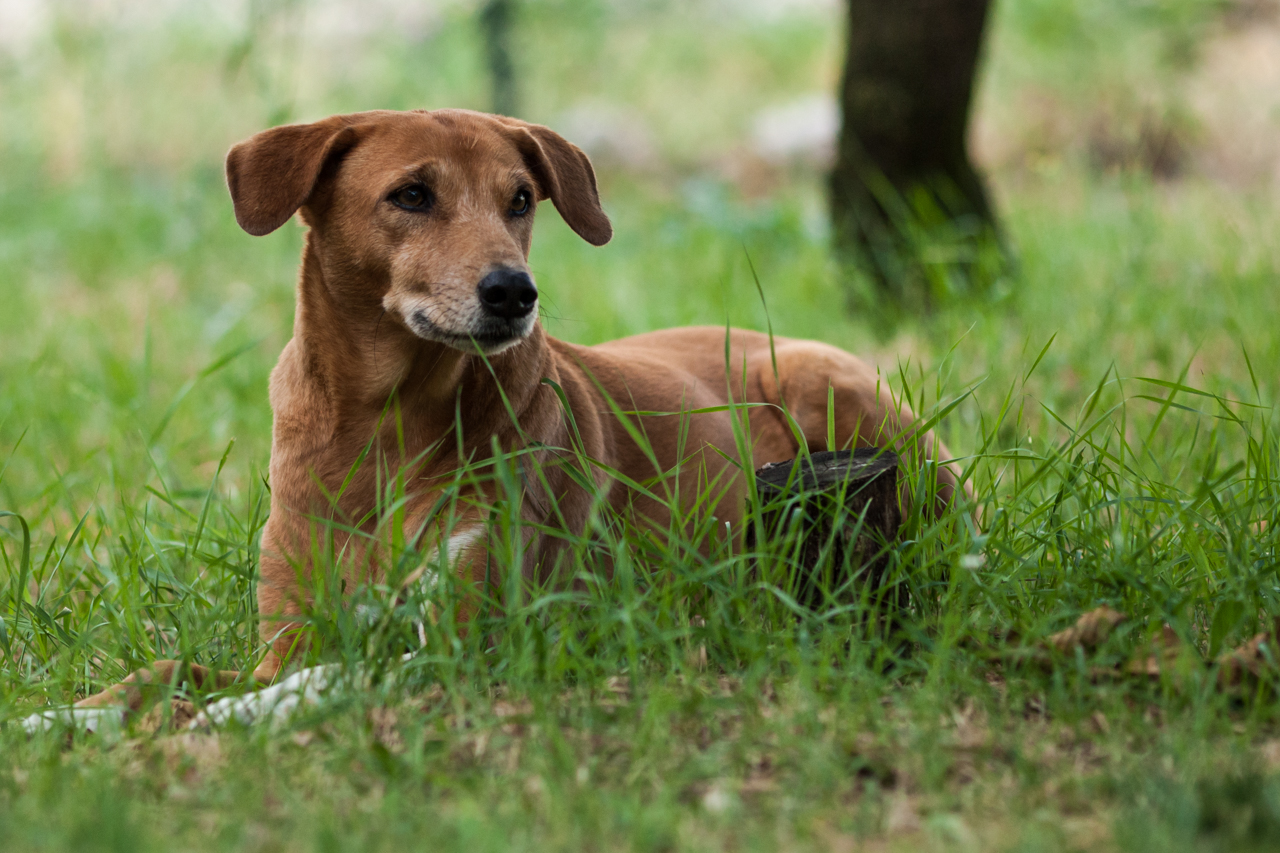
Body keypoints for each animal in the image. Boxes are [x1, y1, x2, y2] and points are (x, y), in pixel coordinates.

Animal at [24, 108, 962, 732]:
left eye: (520, 199)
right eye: (410, 194)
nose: (514, 290)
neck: (384, 427)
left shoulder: (471, 637)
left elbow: (320, 678)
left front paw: (226, 717)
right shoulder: (288, 627)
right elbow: (168, 666)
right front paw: (65, 718)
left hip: (834, 403)